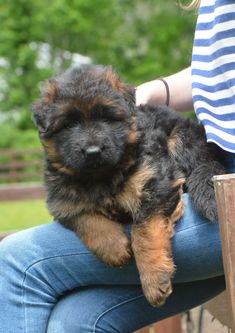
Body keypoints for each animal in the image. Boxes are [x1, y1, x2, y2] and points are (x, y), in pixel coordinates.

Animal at [30, 65, 224, 306]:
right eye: (70, 124)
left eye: (106, 117)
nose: (92, 151)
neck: (102, 176)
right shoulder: (62, 200)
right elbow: (85, 218)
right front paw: (115, 247)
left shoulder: (156, 181)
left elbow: (143, 232)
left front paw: (154, 279)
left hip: (180, 138)